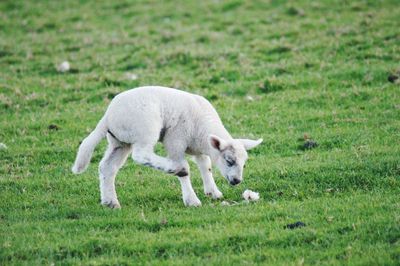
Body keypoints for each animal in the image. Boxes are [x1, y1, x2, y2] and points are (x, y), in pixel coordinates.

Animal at [72, 87, 262, 208]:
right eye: (229, 161)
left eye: (244, 164)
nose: (237, 181)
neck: (202, 129)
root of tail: (107, 117)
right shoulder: (175, 140)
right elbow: (187, 171)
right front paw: (192, 200)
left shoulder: (198, 146)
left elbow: (205, 165)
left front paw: (213, 192)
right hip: (145, 128)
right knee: (142, 155)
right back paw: (175, 167)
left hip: (119, 141)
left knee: (107, 167)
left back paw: (110, 202)